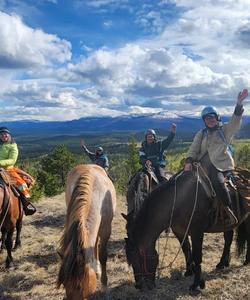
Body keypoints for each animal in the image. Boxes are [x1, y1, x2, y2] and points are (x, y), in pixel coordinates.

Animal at [124, 163, 250, 292]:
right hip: (226, 224)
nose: (139, 286)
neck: (178, 201)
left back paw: (246, 261)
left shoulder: (197, 232)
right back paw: (223, 263)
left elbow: (197, 256)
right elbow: (186, 250)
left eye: (138, 258)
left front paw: (197, 284)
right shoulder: (179, 231)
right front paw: (189, 271)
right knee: (228, 239)